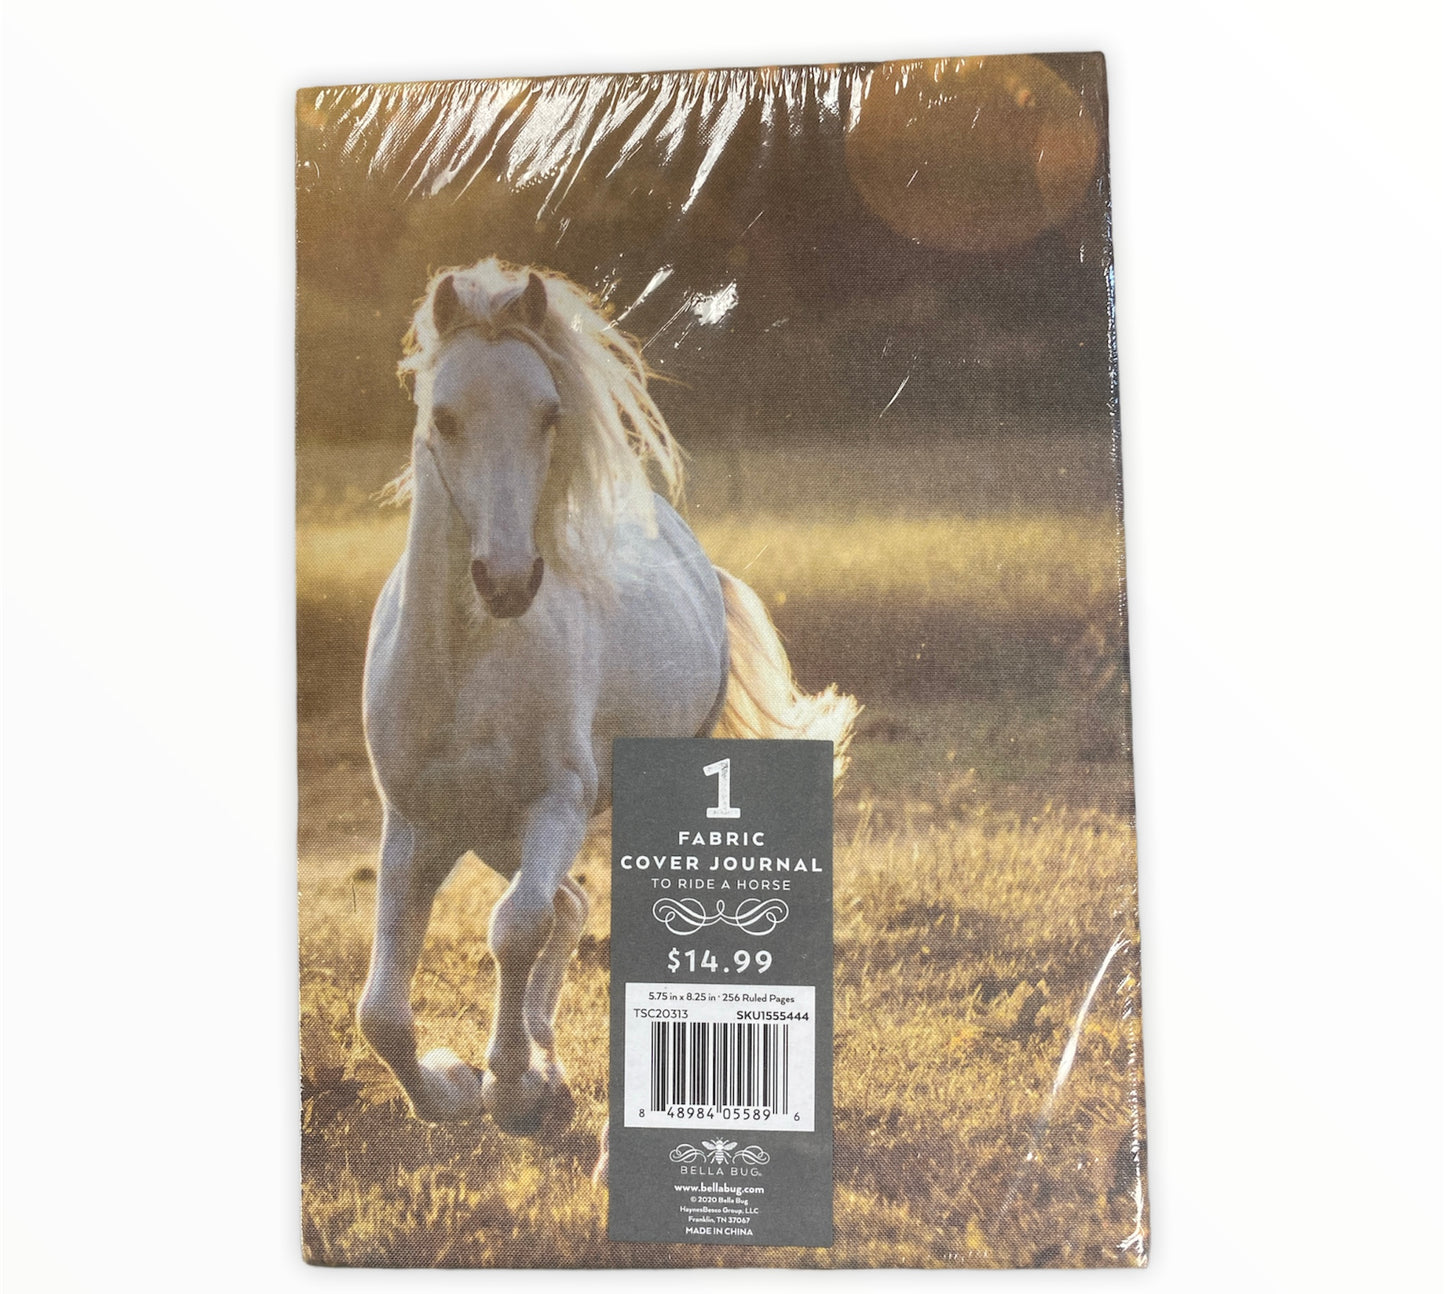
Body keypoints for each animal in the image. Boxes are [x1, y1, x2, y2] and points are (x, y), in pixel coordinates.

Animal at [356, 258, 858, 1160]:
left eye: (549, 413)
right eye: (443, 417)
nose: (507, 581)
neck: (465, 658)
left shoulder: (555, 801)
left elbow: (512, 929)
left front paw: (510, 1091)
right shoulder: (415, 825)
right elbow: (380, 1011)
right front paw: (459, 1088)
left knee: (567, 910)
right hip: (490, 833)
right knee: (570, 905)